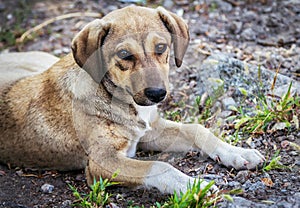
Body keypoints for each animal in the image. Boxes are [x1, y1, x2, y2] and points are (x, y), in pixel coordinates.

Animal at [0, 5, 264, 194]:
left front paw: (238, 152)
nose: (157, 94)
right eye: (125, 55)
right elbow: (160, 166)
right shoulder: (103, 162)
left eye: (161, 48)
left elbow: (197, 129)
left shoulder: (152, 131)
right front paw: (193, 185)